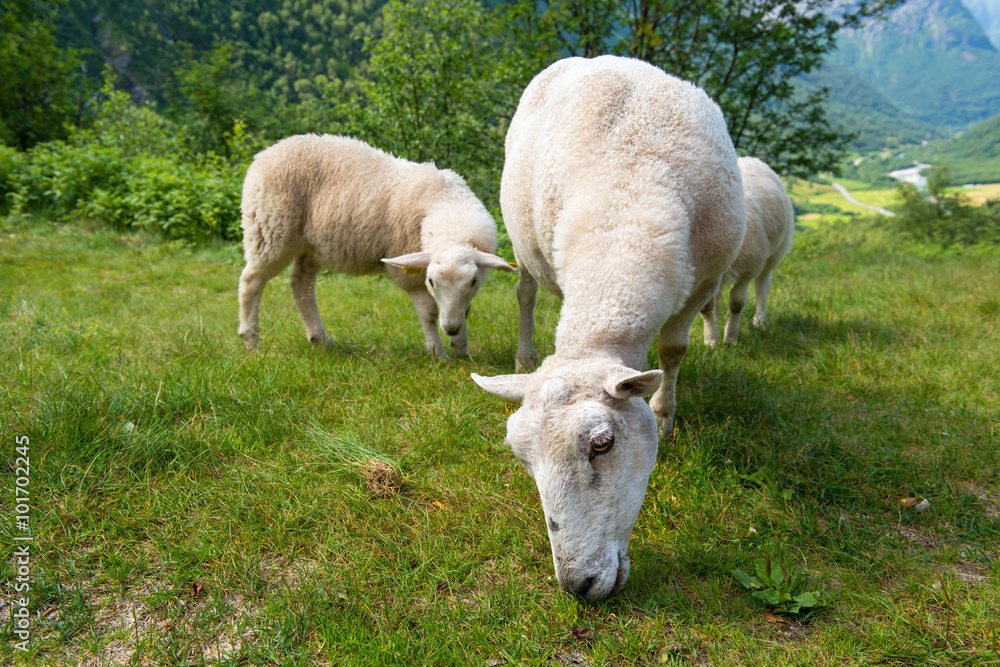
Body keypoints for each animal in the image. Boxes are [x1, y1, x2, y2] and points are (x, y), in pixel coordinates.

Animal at [237, 134, 515, 357]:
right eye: (431, 281)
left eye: (473, 282)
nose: (451, 328)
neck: (448, 210)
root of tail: (266, 152)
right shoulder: (409, 272)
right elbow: (428, 313)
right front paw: (438, 354)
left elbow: (465, 311)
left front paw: (462, 351)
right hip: (270, 230)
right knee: (251, 281)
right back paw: (251, 341)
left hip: (312, 245)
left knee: (300, 283)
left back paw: (320, 339)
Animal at [471, 56, 746, 601]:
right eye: (521, 458)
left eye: (603, 444)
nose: (578, 585)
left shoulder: (704, 280)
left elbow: (675, 349)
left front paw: (664, 415)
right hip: (526, 247)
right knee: (526, 296)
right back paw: (523, 355)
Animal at [700, 156, 795, 346]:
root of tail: (751, 159)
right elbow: (706, 307)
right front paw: (711, 340)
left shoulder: (747, 269)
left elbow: (737, 304)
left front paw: (730, 339)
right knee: (718, 293)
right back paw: (717, 318)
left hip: (774, 254)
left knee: (762, 287)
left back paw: (759, 321)